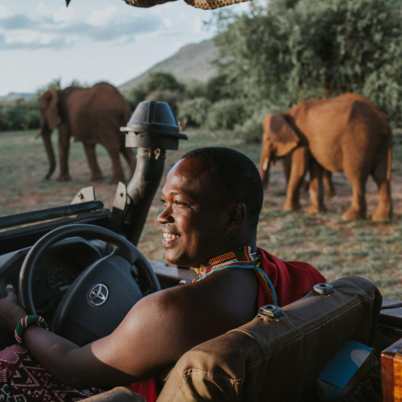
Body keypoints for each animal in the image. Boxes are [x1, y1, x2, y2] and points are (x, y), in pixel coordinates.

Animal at [258, 93, 392, 221]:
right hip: (380, 141)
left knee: (356, 175)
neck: (287, 114)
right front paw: (314, 212)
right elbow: (315, 169)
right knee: (381, 176)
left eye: (268, 139)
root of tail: (383, 118)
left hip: (358, 138)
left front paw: (288, 210)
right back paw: (380, 219)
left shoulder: (302, 140)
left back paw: (349, 217)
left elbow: (300, 169)